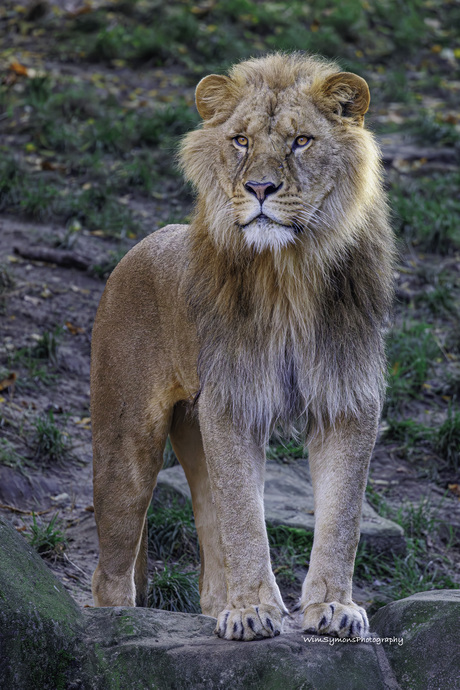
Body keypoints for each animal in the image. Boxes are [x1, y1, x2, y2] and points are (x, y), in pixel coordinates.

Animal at [90, 52, 396, 640]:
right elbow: (246, 521)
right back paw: (120, 627)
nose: (259, 188)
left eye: (301, 141)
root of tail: (137, 248)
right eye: (240, 141)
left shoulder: (347, 400)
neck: (289, 272)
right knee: (112, 571)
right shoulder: (232, 402)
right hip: (126, 444)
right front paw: (253, 610)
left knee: (212, 551)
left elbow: (342, 515)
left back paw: (218, 607)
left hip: (194, 427)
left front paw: (333, 607)